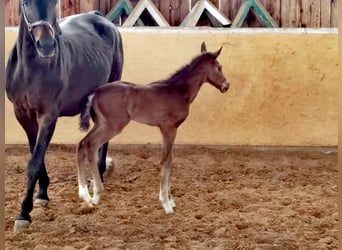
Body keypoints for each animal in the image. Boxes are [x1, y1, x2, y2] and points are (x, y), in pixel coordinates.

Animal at [6, 0, 123, 231]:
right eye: (25, 3)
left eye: (54, 2)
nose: (46, 45)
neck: (31, 69)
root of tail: (102, 19)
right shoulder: (23, 115)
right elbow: (37, 155)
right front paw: (42, 195)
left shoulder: (48, 116)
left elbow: (34, 162)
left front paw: (24, 213)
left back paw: (99, 175)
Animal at [77, 42, 230, 214]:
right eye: (219, 67)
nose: (226, 86)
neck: (179, 90)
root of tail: (95, 93)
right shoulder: (169, 128)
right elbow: (166, 161)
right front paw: (166, 203)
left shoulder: (168, 130)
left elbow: (169, 159)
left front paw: (170, 200)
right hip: (113, 125)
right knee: (91, 145)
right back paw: (94, 193)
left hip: (101, 124)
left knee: (83, 144)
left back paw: (87, 195)